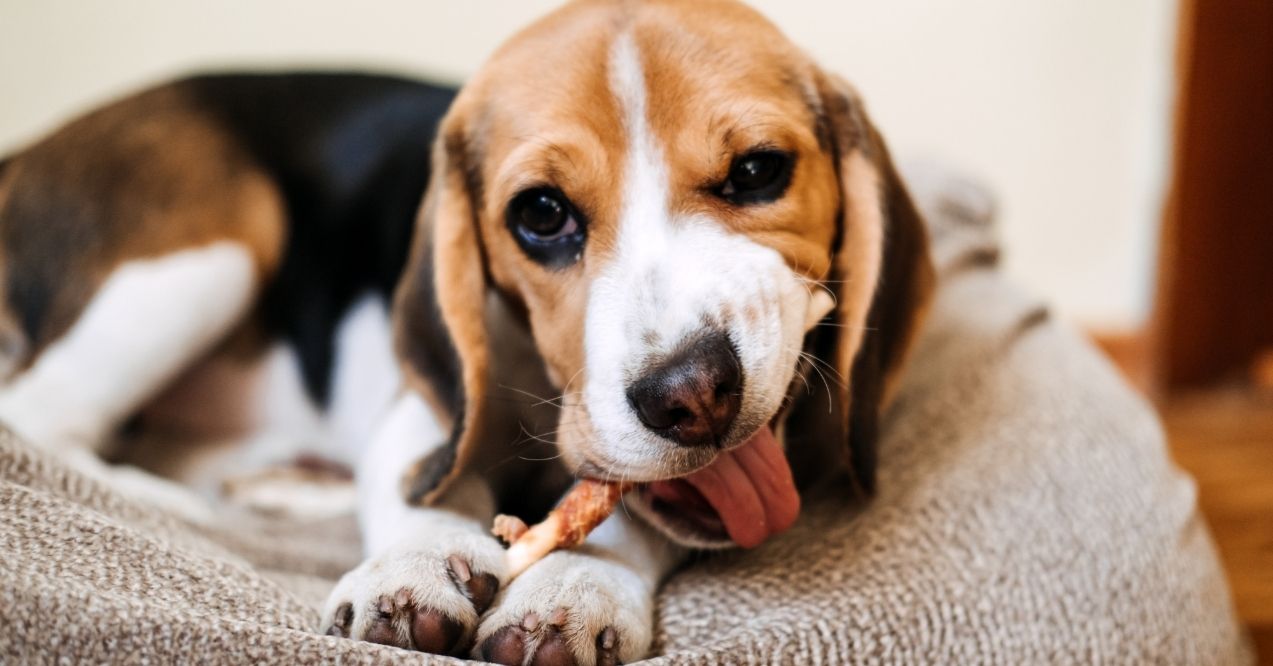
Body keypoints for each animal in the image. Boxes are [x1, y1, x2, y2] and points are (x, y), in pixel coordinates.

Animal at [0, 1, 936, 666]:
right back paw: (173, 506)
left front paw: (576, 583)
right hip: (214, 248)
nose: (692, 395)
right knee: (41, 420)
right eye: (541, 215)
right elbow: (427, 488)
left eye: (757, 171)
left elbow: (624, 511)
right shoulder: (425, 414)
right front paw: (412, 568)